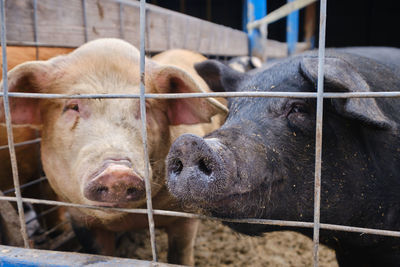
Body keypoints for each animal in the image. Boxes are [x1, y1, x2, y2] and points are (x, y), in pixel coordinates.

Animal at [0, 37, 227, 266]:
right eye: (73, 106)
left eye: (145, 107)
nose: (117, 173)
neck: (131, 219)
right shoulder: (79, 217)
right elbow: (100, 253)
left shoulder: (187, 212)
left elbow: (180, 252)